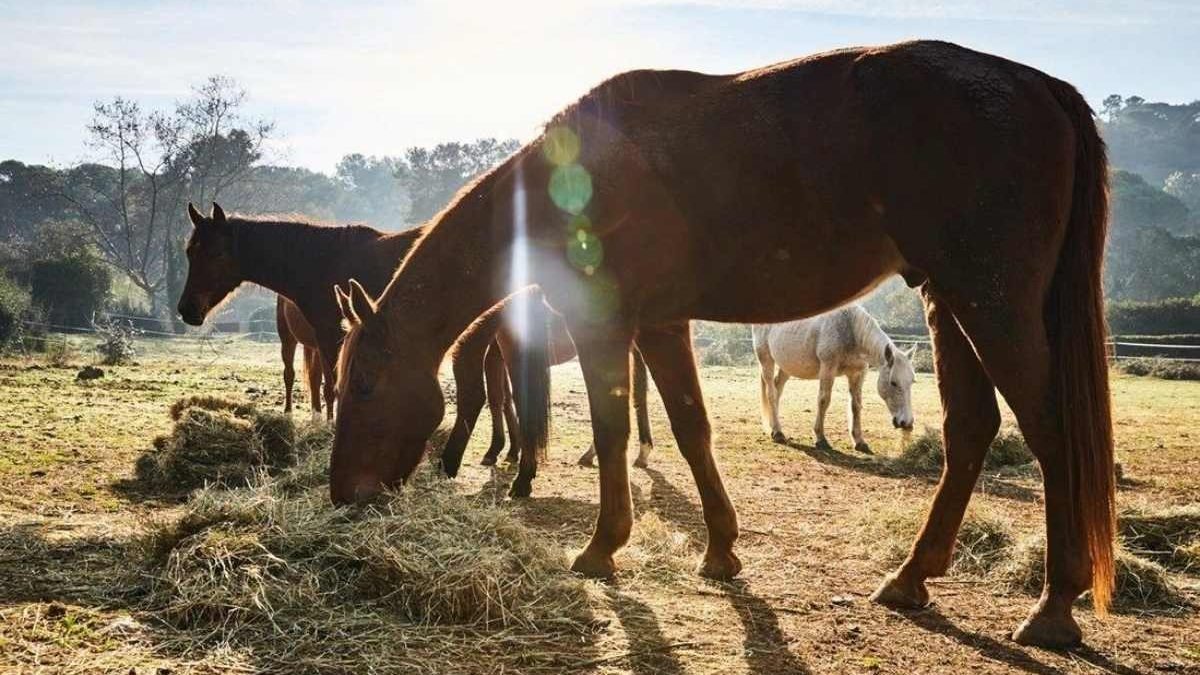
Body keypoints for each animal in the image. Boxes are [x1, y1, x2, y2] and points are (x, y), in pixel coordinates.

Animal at [753, 304, 915, 453]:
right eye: (893, 383)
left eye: (912, 382)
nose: (907, 423)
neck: (850, 330)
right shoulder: (828, 369)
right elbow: (824, 400)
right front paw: (821, 439)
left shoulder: (857, 374)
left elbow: (856, 405)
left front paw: (859, 441)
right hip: (766, 359)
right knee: (771, 393)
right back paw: (777, 433)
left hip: (787, 366)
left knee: (777, 389)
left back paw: (773, 427)